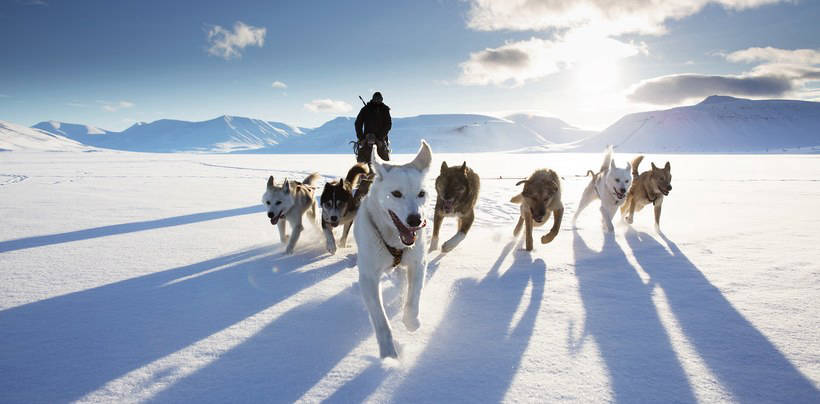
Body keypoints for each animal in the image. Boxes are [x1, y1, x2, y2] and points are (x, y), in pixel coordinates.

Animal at [354, 140, 432, 358]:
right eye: (396, 194)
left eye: (421, 194)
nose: (415, 220)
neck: (395, 240)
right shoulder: (368, 278)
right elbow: (381, 321)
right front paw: (389, 355)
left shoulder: (418, 263)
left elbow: (413, 299)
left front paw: (411, 322)